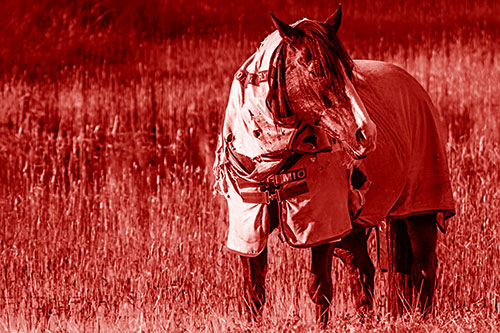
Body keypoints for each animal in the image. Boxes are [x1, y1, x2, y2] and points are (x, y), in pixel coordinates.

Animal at [213, 4, 456, 326]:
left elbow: (319, 288)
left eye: (350, 70)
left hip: (419, 211)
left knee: (425, 266)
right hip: (353, 229)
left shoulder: (322, 225)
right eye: (317, 70)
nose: (366, 133)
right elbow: (253, 291)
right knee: (362, 270)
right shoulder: (250, 224)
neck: (273, 158)